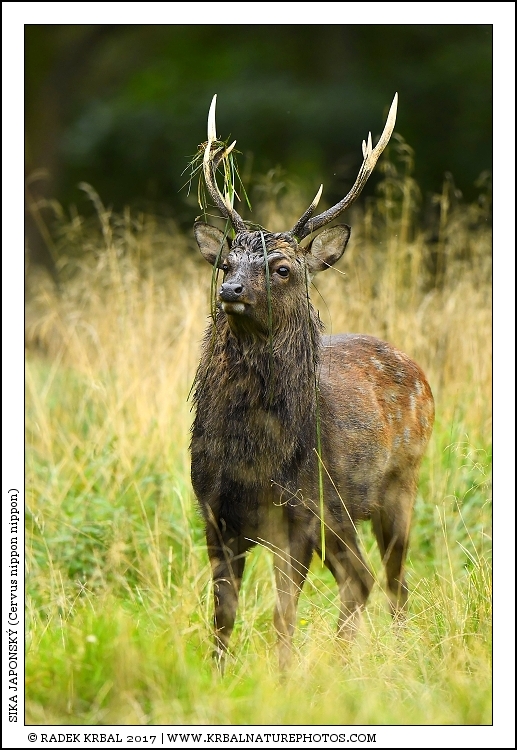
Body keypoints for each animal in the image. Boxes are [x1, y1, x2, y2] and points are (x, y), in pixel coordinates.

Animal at [190, 94, 434, 671]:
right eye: (228, 262)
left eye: (282, 268)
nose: (231, 290)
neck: (253, 459)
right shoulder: (214, 512)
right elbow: (223, 615)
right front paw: (218, 675)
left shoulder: (296, 516)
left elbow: (282, 616)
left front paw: (283, 678)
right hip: (339, 513)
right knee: (360, 579)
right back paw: (344, 661)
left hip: (397, 486)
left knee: (394, 584)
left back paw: (392, 657)